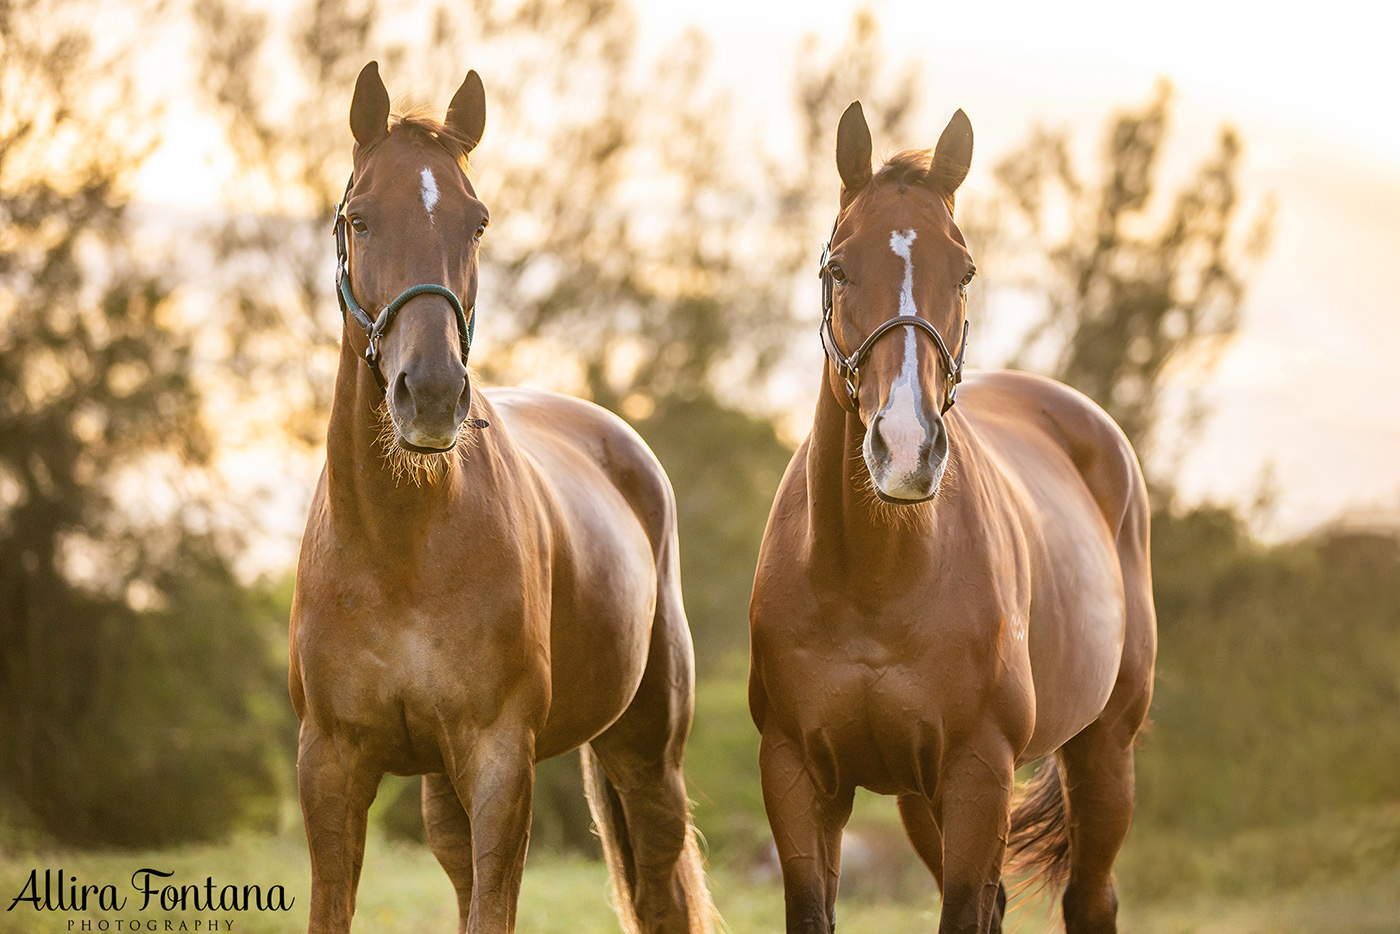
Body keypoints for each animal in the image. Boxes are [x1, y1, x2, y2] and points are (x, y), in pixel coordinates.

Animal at [287, 61, 722, 929]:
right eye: (359, 219)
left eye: (476, 222)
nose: (430, 394)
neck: (397, 548)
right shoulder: (331, 763)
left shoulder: (497, 760)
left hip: (645, 756)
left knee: (659, 887)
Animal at [750, 102, 1153, 934]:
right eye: (839, 268)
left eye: (962, 270)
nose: (906, 448)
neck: (874, 583)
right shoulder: (799, 776)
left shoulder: (978, 774)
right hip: (918, 796)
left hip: (1104, 751)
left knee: (1089, 897)